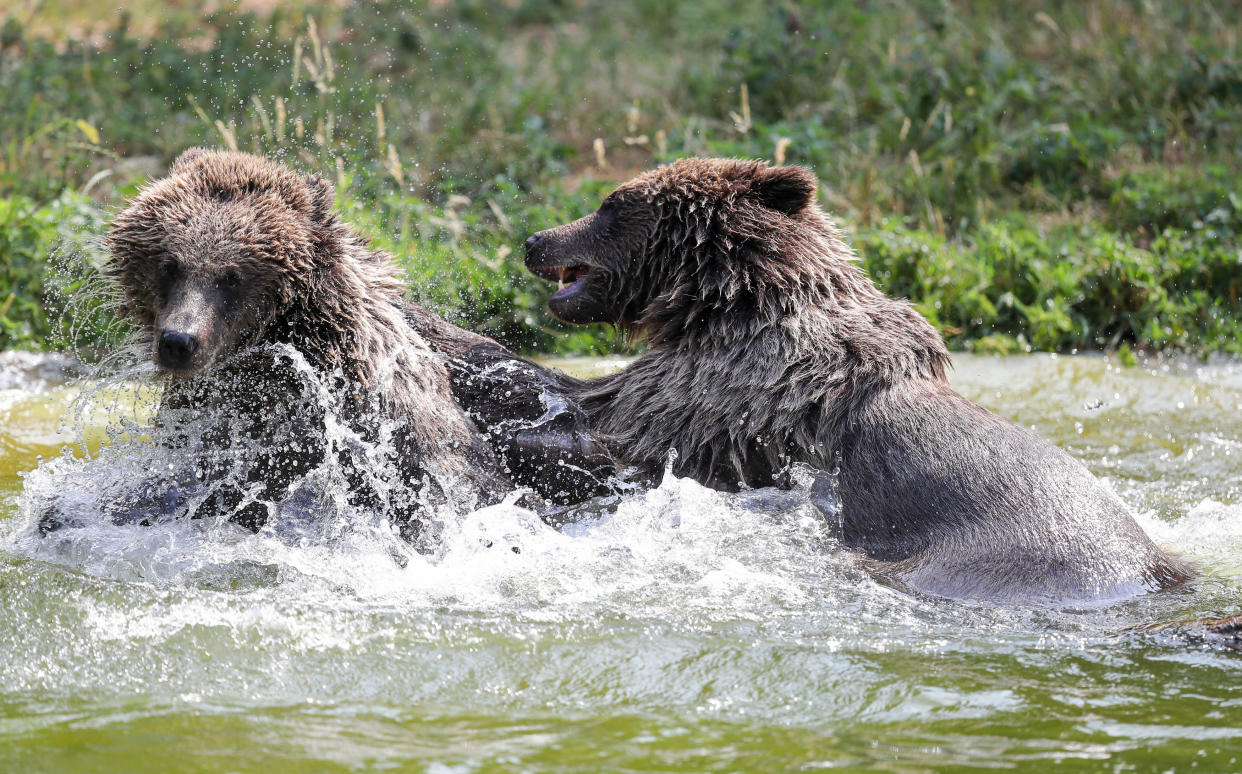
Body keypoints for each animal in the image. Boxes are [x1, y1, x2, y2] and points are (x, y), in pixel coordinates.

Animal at [524, 159, 1192, 606]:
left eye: (612, 203)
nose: (534, 239)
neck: (732, 299)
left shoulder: (737, 382)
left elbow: (620, 415)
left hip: (983, 558)